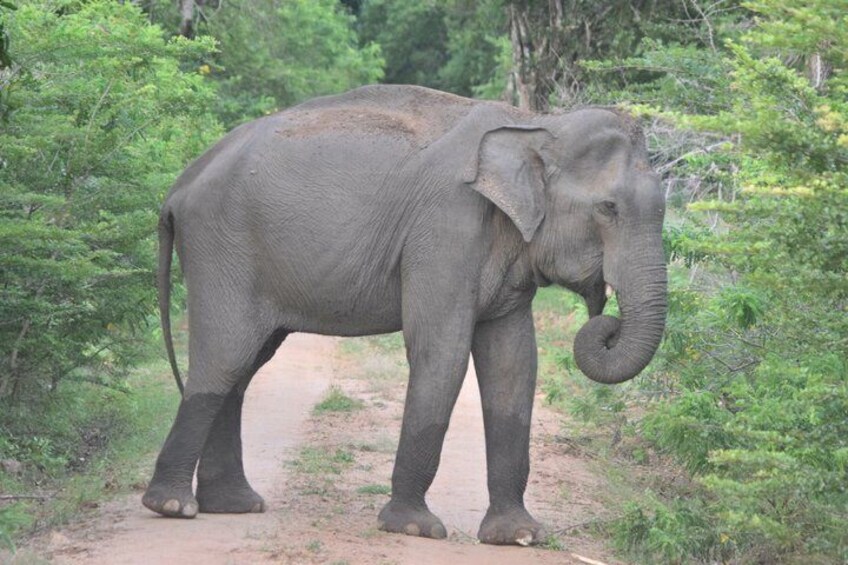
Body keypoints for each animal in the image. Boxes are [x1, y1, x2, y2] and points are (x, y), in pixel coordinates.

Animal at [142, 84, 667, 546]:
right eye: (608, 208)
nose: (605, 321)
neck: (537, 123)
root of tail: (177, 187)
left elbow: (514, 363)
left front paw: (519, 537)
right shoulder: (444, 228)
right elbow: (442, 352)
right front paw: (414, 528)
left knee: (245, 366)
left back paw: (233, 505)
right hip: (221, 250)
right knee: (226, 358)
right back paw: (173, 507)